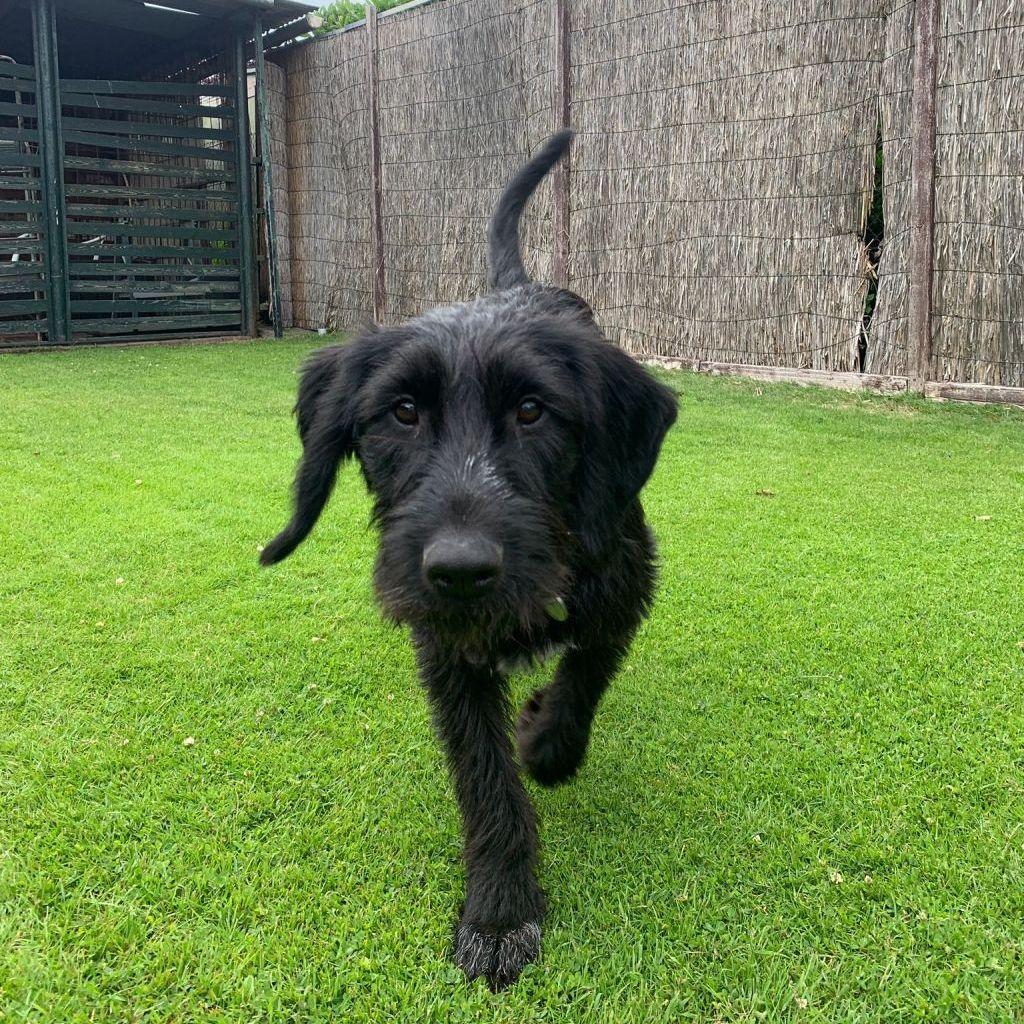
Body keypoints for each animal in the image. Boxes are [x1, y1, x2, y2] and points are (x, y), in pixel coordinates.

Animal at [261, 131, 677, 990]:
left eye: (532, 411)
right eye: (402, 412)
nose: (458, 571)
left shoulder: (627, 578)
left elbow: (586, 673)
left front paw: (547, 741)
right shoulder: (447, 650)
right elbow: (486, 780)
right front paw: (499, 911)